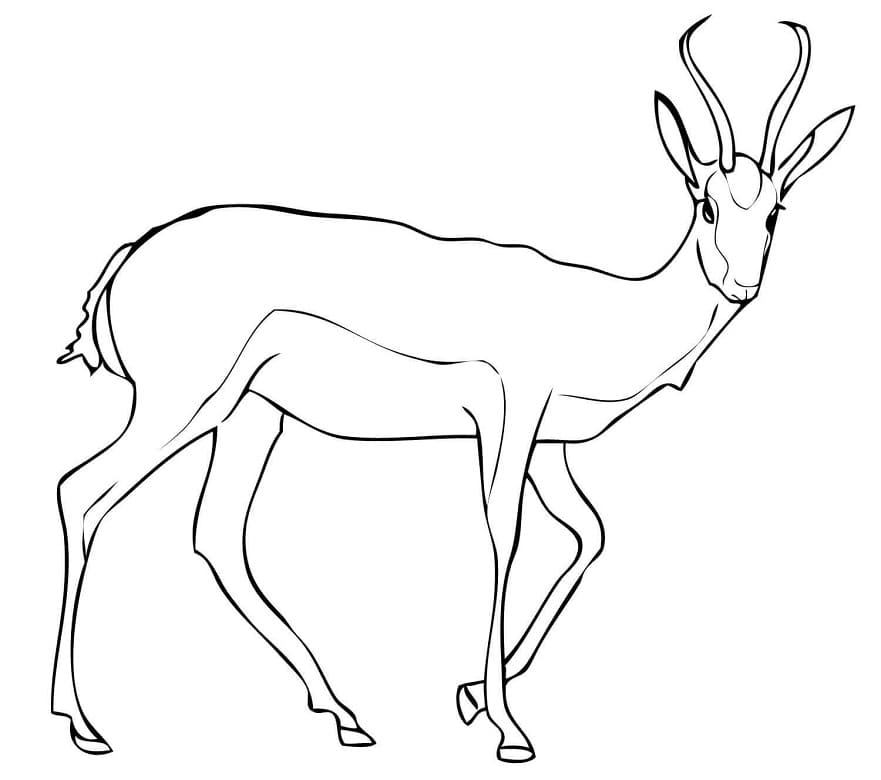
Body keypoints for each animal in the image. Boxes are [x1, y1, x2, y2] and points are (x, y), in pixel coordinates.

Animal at [52, 17, 853, 763]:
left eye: (775, 210)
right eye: (707, 205)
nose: (741, 284)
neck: (601, 315)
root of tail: (130, 255)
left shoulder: (549, 447)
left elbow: (589, 535)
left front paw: (472, 695)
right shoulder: (510, 415)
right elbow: (505, 535)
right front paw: (508, 729)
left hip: (250, 419)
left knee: (216, 535)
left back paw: (344, 714)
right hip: (183, 405)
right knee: (81, 493)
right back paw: (84, 724)